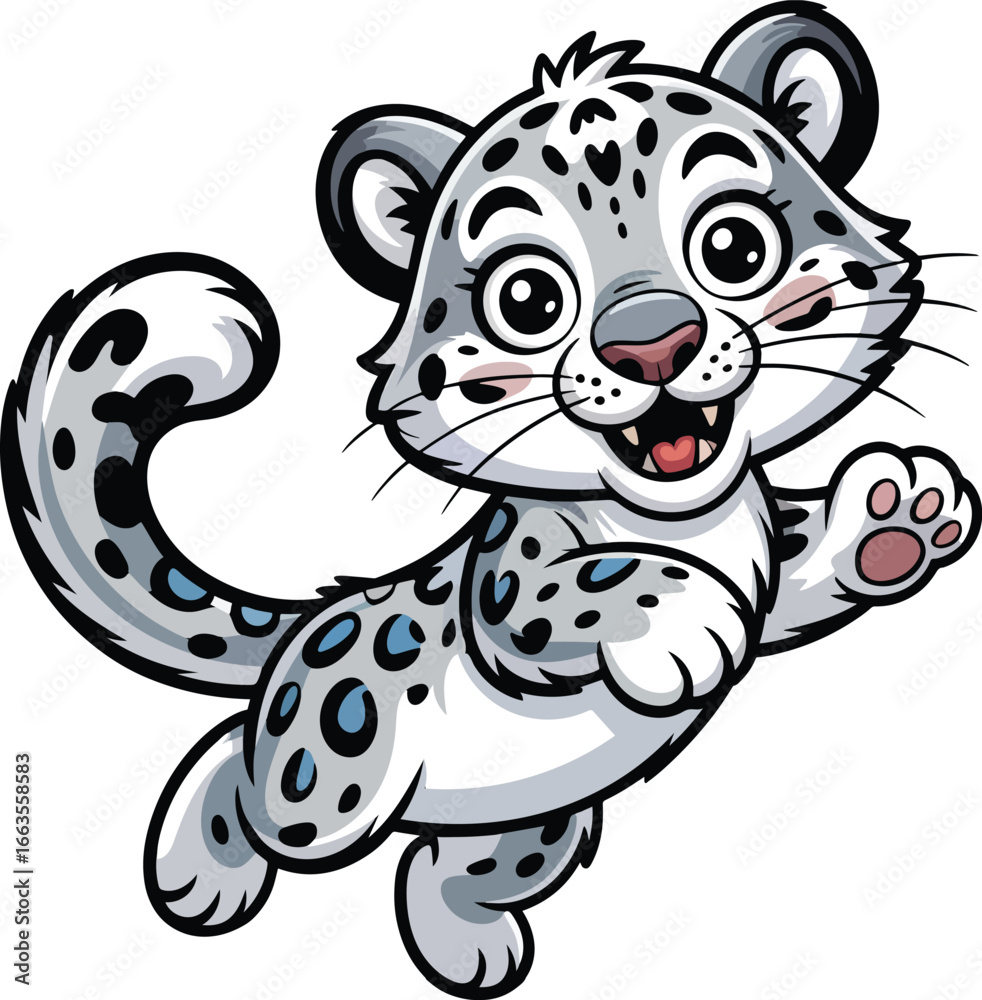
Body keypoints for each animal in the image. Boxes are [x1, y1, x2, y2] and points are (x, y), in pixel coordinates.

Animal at [3, 4, 978, 996]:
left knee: (439, 865)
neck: (688, 517)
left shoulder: (765, 558)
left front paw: (900, 516)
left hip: (532, 820)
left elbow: (798, 571)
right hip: (332, 775)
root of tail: (309, 627)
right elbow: (579, 590)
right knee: (249, 777)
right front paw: (685, 621)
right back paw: (196, 875)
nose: (651, 343)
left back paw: (467, 949)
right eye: (529, 296)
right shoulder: (513, 584)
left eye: (734, 246)